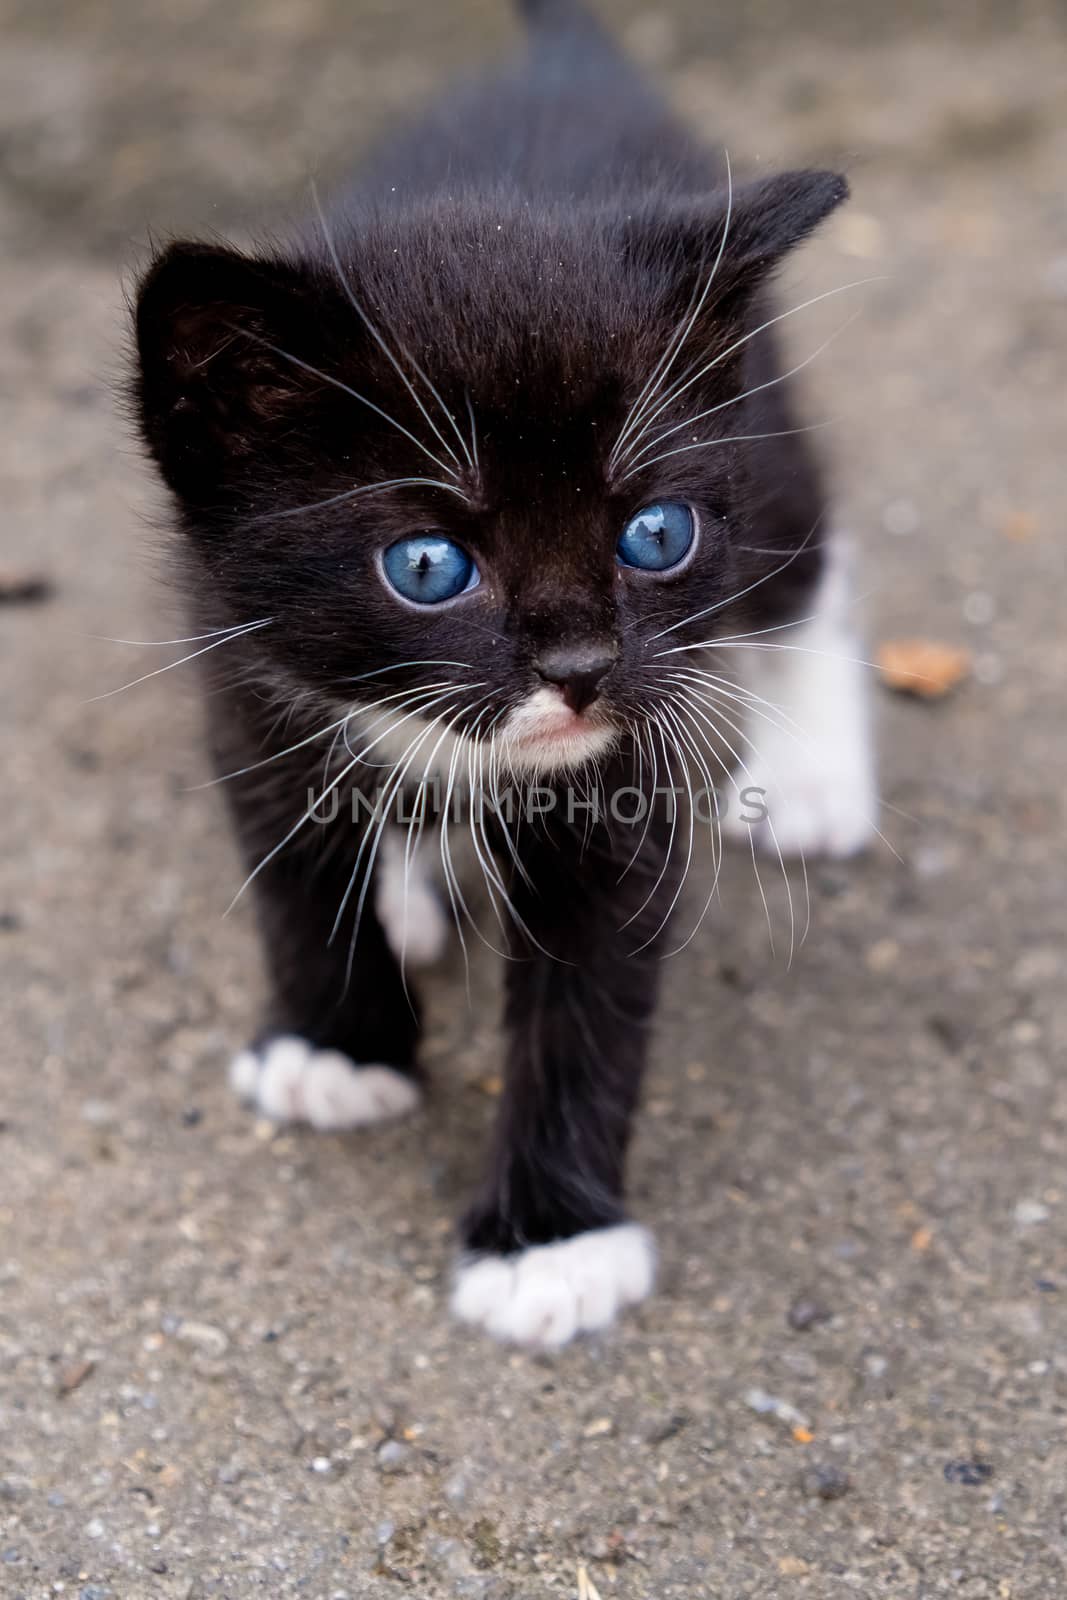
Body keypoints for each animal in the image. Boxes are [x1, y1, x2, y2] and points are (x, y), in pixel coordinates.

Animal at [131, 0, 876, 1350]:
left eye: (654, 535)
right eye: (428, 565)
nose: (582, 664)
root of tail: (563, 56)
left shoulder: (623, 781)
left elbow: (584, 995)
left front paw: (549, 1241)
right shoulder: (244, 678)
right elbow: (294, 874)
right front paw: (338, 1046)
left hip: (760, 415)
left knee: (806, 555)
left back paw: (808, 778)